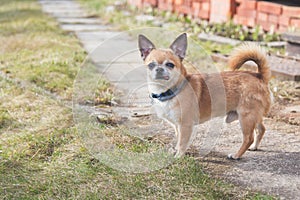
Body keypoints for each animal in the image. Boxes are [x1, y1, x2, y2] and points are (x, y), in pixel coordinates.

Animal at [138, 33, 272, 160]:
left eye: (170, 65)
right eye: (151, 65)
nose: (159, 69)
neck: (171, 90)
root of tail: (259, 76)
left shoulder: (185, 125)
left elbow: (182, 142)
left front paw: (178, 157)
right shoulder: (177, 126)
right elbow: (178, 139)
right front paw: (175, 151)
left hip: (246, 117)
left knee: (248, 138)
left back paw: (236, 155)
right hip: (254, 116)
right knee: (261, 128)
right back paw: (254, 147)